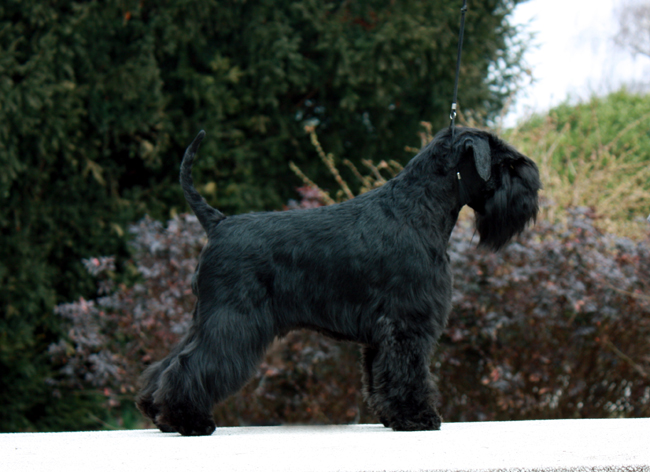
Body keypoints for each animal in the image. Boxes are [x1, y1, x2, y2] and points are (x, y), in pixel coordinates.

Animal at [136, 126, 541, 435]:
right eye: (506, 162)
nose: (534, 187)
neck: (418, 208)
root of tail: (217, 223)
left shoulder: (383, 331)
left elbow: (381, 375)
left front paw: (393, 416)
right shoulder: (407, 321)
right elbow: (408, 371)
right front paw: (417, 417)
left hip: (207, 316)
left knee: (168, 363)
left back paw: (159, 413)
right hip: (232, 320)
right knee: (191, 364)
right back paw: (189, 420)